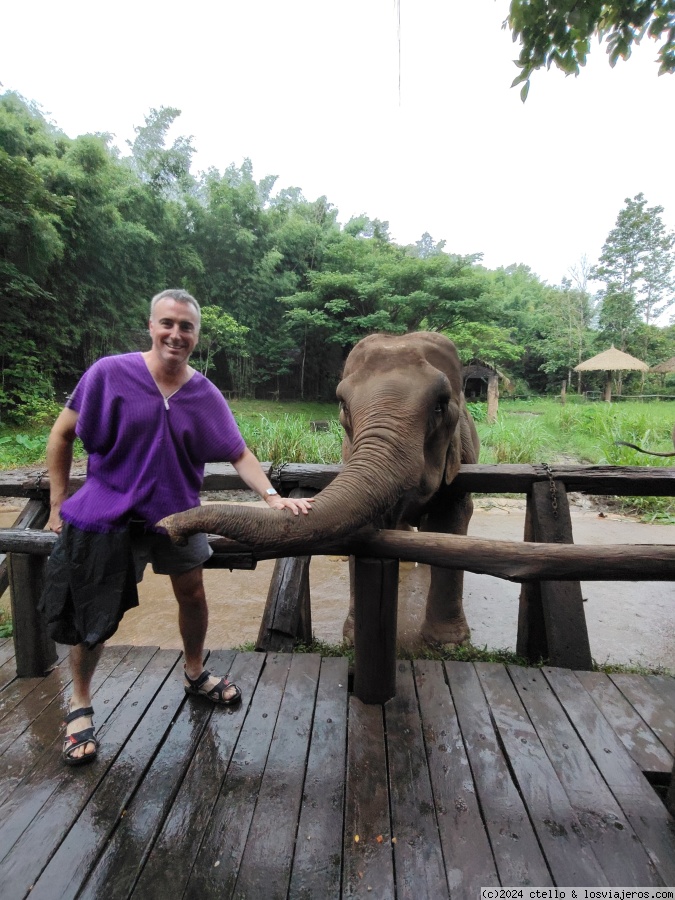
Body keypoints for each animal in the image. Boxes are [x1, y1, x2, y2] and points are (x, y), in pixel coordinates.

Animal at [160, 330, 480, 648]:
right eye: (343, 406)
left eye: (440, 405)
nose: (170, 528)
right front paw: (352, 639)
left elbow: (451, 519)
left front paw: (449, 644)